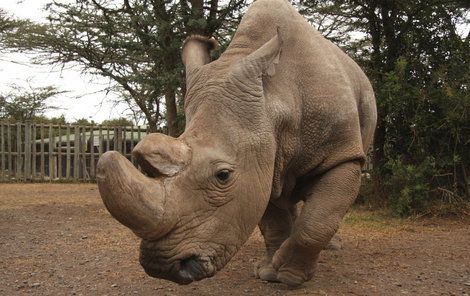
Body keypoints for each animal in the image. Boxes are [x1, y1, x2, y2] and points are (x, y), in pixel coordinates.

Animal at [96, 0, 378, 288]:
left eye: (223, 175)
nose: (162, 267)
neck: (276, 102)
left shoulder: (342, 154)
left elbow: (316, 223)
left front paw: (289, 277)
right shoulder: (262, 161)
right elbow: (272, 221)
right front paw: (269, 272)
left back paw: (331, 248)